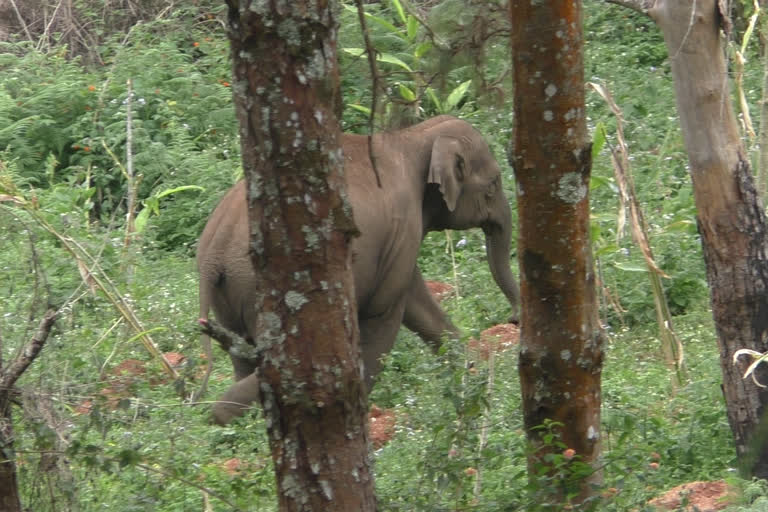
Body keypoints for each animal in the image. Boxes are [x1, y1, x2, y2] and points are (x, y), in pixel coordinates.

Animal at [198, 116, 520, 424]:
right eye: (494, 183)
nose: (514, 319)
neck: (414, 136)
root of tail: (213, 251)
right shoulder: (403, 230)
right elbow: (385, 315)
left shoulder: (393, 246)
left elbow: (418, 303)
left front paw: (471, 375)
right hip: (260, 289)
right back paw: (225, 413)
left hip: (230, 296)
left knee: (242, 355)